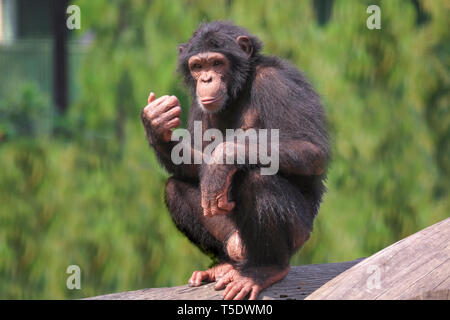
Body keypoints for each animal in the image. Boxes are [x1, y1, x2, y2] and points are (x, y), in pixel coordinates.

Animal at [142, 21, 330, 300]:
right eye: (197, 66)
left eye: (216, 63)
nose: (206, 79)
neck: (239, 89)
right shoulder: (199, 106)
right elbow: (196, 161)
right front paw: (156, 124)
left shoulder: (278, 83)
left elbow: (311, 147)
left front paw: (223, 159)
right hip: (233, 239)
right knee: (174, 188)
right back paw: (223, 265)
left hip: (300, 235)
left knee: (259, 179)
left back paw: (265, 269)